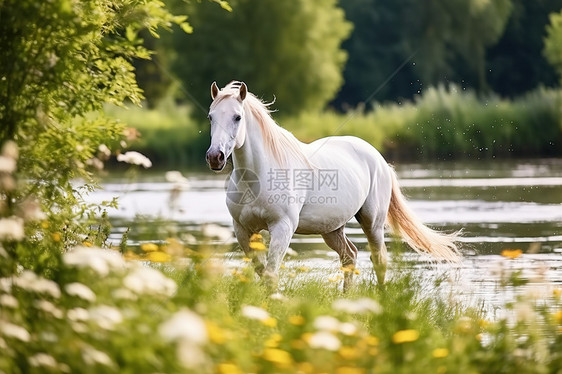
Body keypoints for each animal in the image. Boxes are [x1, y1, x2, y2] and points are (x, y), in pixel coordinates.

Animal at [203, 80, 458, 288]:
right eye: (211, 117)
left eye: (237, 117)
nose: (215, 157)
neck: (256, 179)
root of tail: (378, 158)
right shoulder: (243, 230)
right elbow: (260, 271)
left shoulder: (282, 227)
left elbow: (270, 274)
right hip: (332, 228)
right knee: (349, 256)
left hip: (372, 223)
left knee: (379, 260)